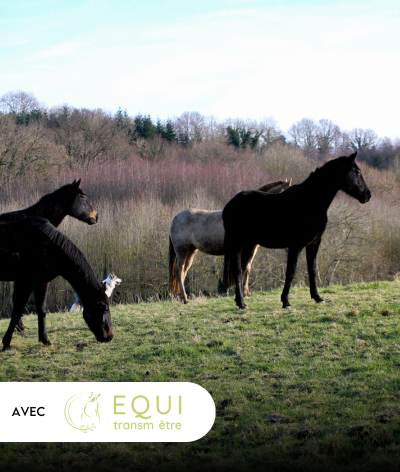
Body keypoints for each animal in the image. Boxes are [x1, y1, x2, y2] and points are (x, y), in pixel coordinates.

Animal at [0, 218, 113, 350]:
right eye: (104, 308)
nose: (110, 336)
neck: (49, 249)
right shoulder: (24, 282)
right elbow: (17, 312)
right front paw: (6, 343)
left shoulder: (42, 283)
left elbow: (42, 311)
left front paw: (44, 340)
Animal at [222, 153, 372, 312]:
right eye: (357, 172)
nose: (368, 195)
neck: (310, 201)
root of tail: (229, 205)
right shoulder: (296, 245)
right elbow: (291, 272)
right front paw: (285, 301)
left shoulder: (314, 243)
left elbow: (312, 270)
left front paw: (317, 297)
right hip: (236, 243)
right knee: (238, 271)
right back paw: (241, 303)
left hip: (250, 245)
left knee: (243, 269)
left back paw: (240, 301)